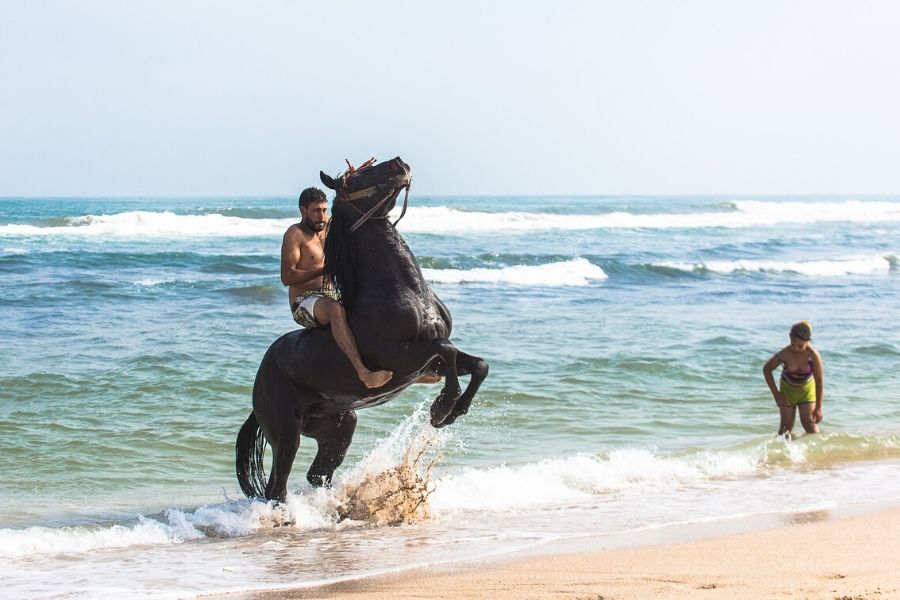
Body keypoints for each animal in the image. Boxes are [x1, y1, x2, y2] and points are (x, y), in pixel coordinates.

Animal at [235, 157, 489, 502]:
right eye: (354, 180)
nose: (399, 163)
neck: (399, 290)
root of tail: (258, 386)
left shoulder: (429, 355)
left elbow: (478, 364)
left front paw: (455, 411)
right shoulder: (401, 358)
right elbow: (447, 352)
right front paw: (441, 408)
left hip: (339, 426)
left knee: (317, 475)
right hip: (287, 434)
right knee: (278, 487)